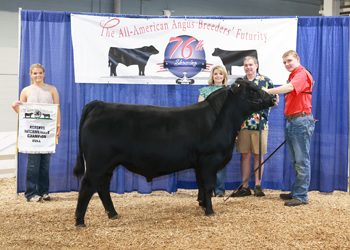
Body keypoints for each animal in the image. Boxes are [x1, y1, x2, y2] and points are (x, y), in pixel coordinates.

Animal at [74, 78, 276, 227]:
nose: (273, 99)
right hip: (98, 162)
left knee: (102, 186)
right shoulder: (210, 160)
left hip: (108, 164)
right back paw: (80, 220)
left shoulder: (199, 164)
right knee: (87, 185)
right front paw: (210, 211)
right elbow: (208, 186)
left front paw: (202, 205)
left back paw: (113, 214)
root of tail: (99, 104)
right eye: (252, 90)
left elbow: (201, 185)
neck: (222, 118)